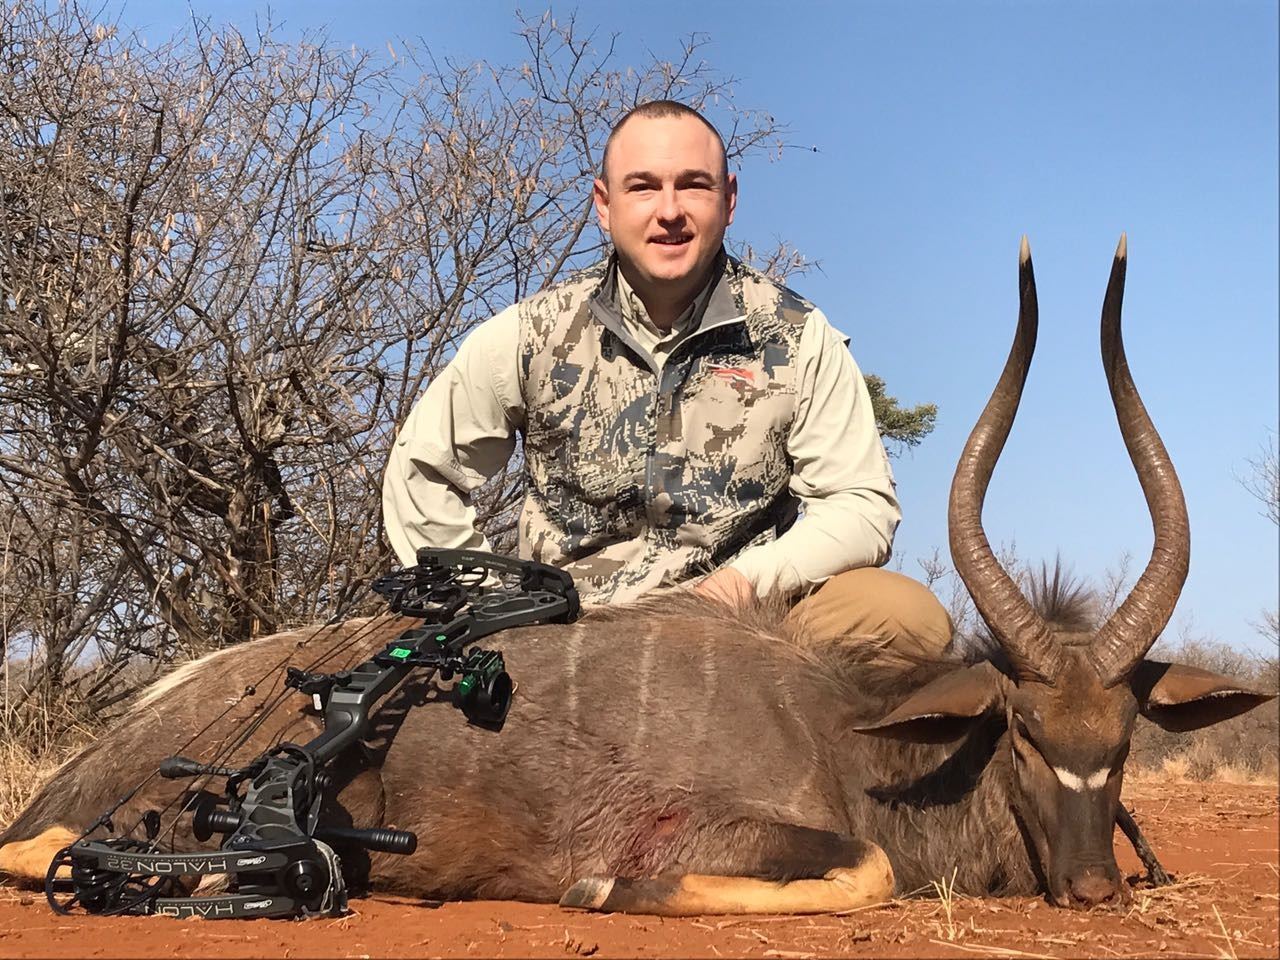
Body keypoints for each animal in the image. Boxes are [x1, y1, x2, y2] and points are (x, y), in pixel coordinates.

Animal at [0, 237, 1272, 915]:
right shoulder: (717, 833)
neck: (848, 737)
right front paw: (599, 894)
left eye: (1122, 738)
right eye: (1017, 726)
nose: (1095, 887)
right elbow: (855, 871)